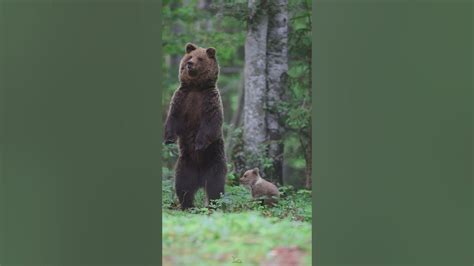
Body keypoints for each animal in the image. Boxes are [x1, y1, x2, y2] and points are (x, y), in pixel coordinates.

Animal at [165, 43, 226, 210]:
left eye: (200, 58)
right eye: (189, 57)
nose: (189, 64)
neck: (196, 87)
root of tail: (199, 179)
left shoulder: (209, 100)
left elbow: (210, 123)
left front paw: (199, 144)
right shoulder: (182, 99)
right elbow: (173, 118)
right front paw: (168, 139)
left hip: (214, 159)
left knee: (215, 186)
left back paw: (213, 205)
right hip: (185, 164)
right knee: (183, 186)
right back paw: (188, 205)